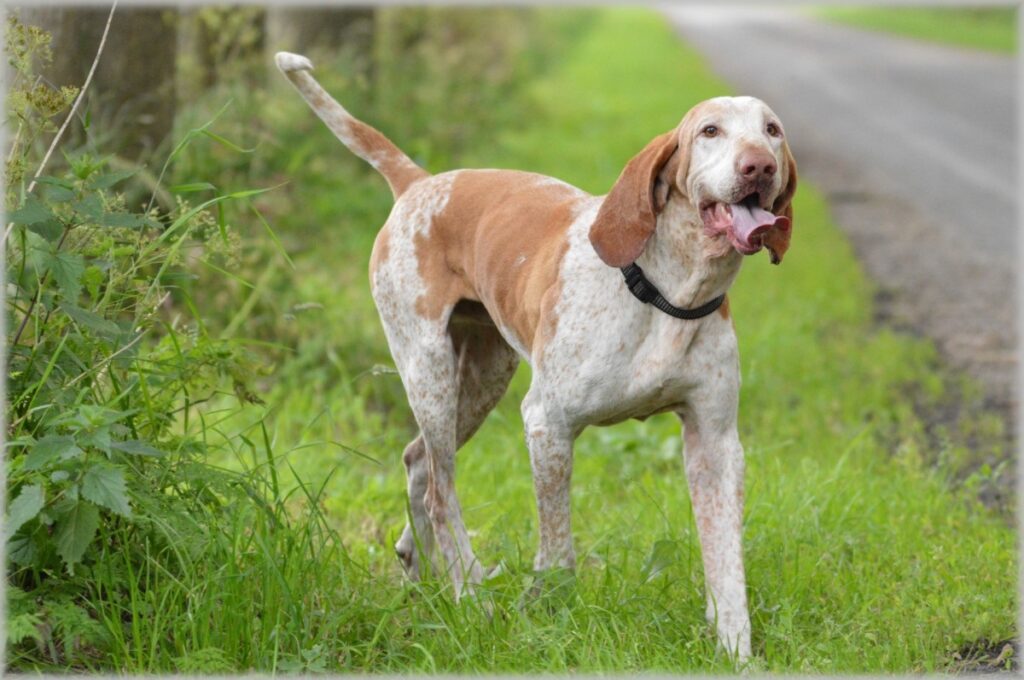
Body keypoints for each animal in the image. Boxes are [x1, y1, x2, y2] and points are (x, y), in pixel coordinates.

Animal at [276, 49, 794, 659]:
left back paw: (423, 571)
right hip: (428, 371)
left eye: (772, 130)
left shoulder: (715, 444)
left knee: (418, 461)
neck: (668, 292)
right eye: (710, 131)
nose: (759, 167)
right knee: (441, 492)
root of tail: (420, 183)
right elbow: (559, 548)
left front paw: (736, 650)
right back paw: (470, 594)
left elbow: (726, 563)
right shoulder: (548, 423)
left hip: (481, 380)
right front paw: (548, 613)